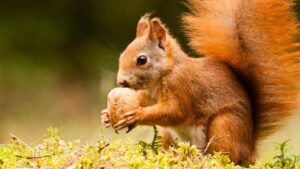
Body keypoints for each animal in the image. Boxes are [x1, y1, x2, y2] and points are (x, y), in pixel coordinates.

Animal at [101, 0, 300, 164]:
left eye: (142, 60)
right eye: (122, 55)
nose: (121, 82)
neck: (163, 75)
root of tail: (250, 148)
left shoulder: (180, 85)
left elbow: (176, 112)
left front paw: (136, 115)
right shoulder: (150, 95)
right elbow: (145, 101)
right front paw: (106, 115)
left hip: (224, 126)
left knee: (226, 155)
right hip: (170, 134)